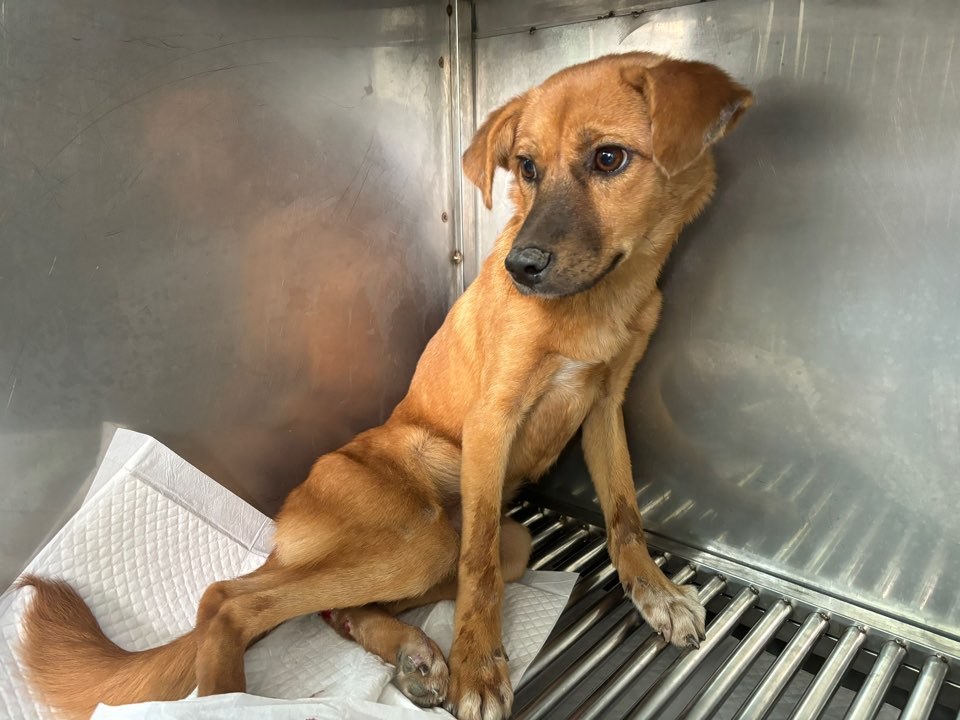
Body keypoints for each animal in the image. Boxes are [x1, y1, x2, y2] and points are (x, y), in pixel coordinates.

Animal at [17, 51, 752, 720]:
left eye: (609, 159)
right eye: (527, 168)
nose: (519, 268)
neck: (601, 300)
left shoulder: (604, 405)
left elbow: (624, 514)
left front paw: (654, 591)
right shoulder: (493, 419)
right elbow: (478, 568)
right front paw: (479, 666)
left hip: (488, 545)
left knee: (339, 606)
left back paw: (407, 648)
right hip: (415, 534)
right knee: (229, 600)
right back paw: (235, 698)